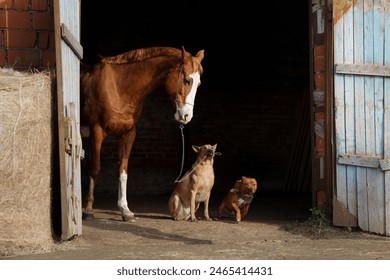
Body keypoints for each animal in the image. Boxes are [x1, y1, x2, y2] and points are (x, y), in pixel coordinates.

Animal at [81, 46, 206, 221]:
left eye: (199, 84)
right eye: (187, 80)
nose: (186, 116)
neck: (119, 87)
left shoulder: (128, 134)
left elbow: (123, 170)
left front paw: (125, 210)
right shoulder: (96, 131)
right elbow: (95, 169)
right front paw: (88, 210)